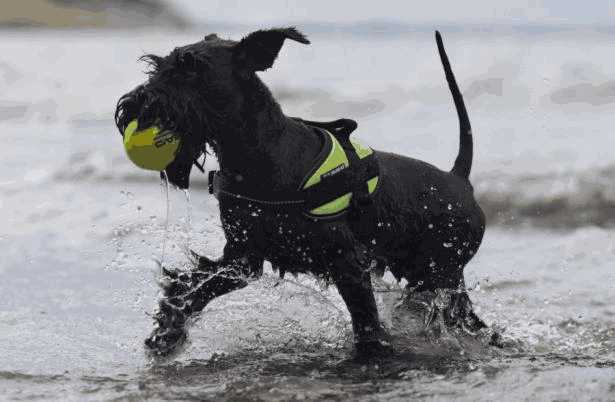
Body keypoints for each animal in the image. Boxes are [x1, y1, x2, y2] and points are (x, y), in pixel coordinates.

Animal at [115, 28, 488, 356]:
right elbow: (195, 285)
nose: (132, 106)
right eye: (158, 66)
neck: (262, 153)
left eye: (192, 70)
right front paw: (168, 330)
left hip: (441, 275)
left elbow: (366, 319)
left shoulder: (346, 260)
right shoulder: (242, 256)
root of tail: (459, 180)